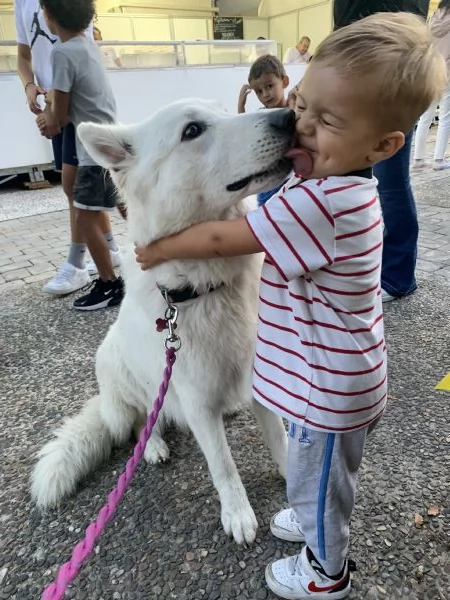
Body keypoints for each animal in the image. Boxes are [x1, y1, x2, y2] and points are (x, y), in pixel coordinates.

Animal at [32, 98, 298, 544]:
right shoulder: (194, 399)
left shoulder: (258, 377)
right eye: (192, 131)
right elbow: (223, 465)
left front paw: (294, 483)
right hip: (123, 374)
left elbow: (278, 435)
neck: (206, 286)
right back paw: (153, 445)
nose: (289, 117)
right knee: (144, 420)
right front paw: (237, 514)